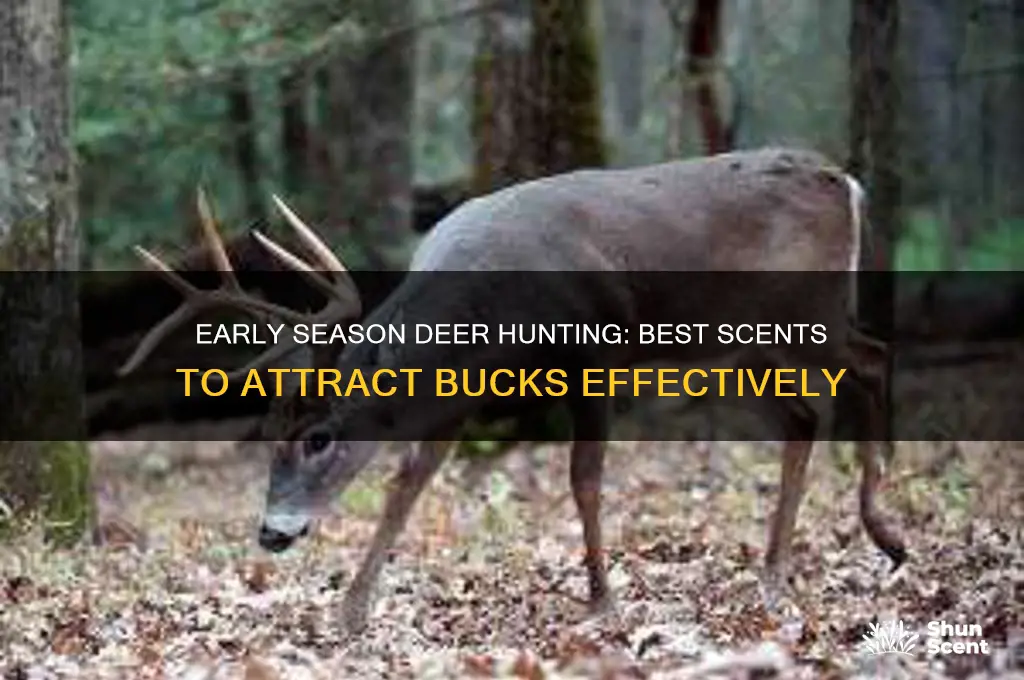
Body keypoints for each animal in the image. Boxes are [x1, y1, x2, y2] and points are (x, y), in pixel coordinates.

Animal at [118, 147, 907, 634]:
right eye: (263, 433)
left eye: (319, 436)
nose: (272, 533)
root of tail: (843, 179)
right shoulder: (457, 395)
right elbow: (409, 482)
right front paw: (352, 611)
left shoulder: (592, 359)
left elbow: (584, 478)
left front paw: (602, 600)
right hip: (745, 346)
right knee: (806, 415)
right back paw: (776, 573)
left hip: (807, 312)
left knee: (870, 358)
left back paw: (886, 534)